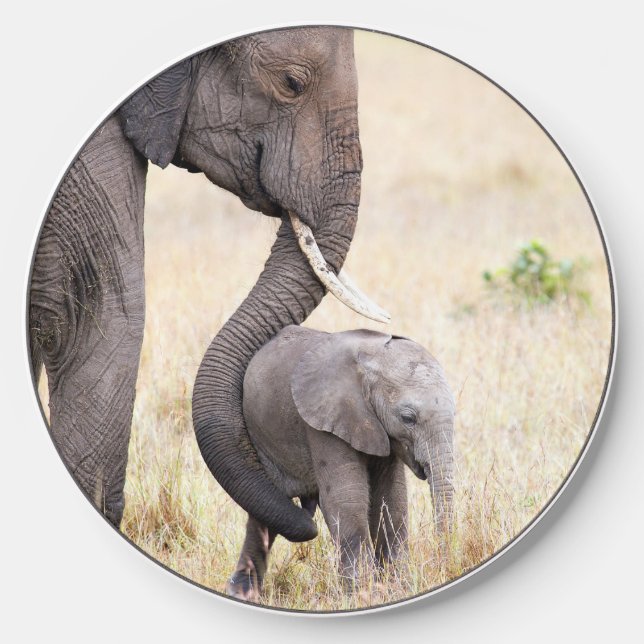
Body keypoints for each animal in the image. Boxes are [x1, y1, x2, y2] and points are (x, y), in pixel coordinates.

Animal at [225, 325, 455, 601]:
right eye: (408, 418)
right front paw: (361, 595)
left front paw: (397, 587)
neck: (371, 358)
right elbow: (347, 499)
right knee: (265, 508)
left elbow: (391, 500)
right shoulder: (325, 421)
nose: (443, 566)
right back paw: (241, 593)